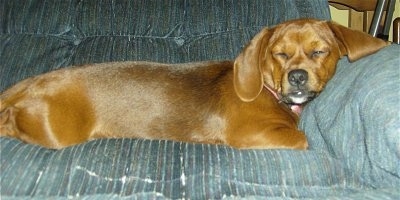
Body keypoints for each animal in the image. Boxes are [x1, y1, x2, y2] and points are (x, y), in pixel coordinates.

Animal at [0, 19, 388, 150]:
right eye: (280, 54)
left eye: (319, 51)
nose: (297, 77)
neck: (268, 90)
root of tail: (33, 82)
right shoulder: (252, 134)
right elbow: (303, 138)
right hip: (54, 130)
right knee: (9, 121)